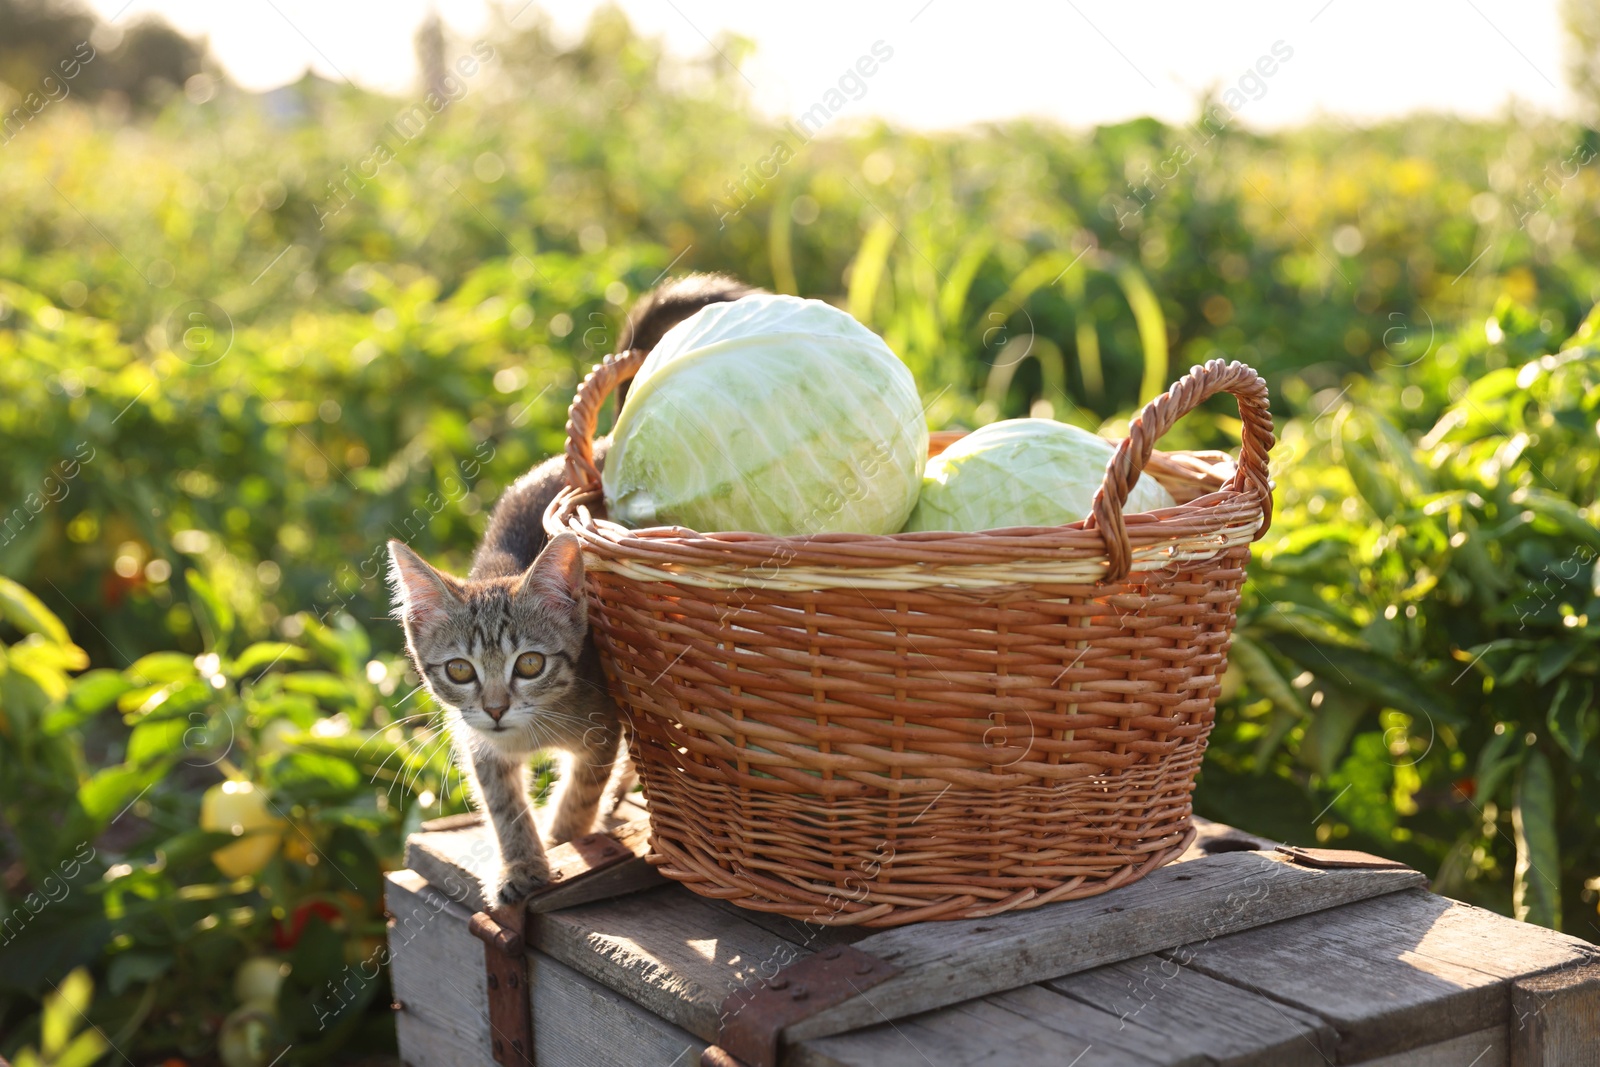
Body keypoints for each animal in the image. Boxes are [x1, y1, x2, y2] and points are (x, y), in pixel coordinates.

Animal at [388, 271, 761, 908]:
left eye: (530, 664)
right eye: (459, 670)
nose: (494, 708)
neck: (526, 733)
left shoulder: (605, 727)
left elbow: (584, 787)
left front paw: (567, 837)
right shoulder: (477, 745)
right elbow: (503, 804)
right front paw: (521, 864)